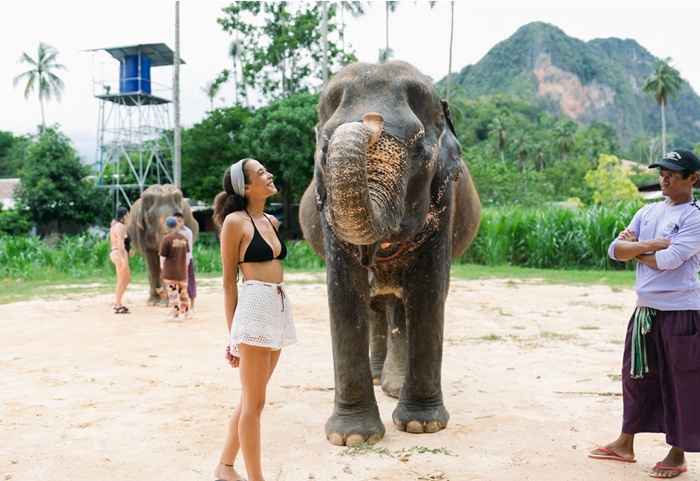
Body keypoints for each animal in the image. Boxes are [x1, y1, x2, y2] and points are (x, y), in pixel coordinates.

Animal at [299, 61, 481, 446]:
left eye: (419, 151)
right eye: (323, 148)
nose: (370, 119)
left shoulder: (445, 201)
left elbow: (428, 291)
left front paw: (421, 426)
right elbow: (343, 293)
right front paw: (353, 438)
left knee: (399, 306)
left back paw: (393, 386)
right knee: (376, 306)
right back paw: (378, 378)